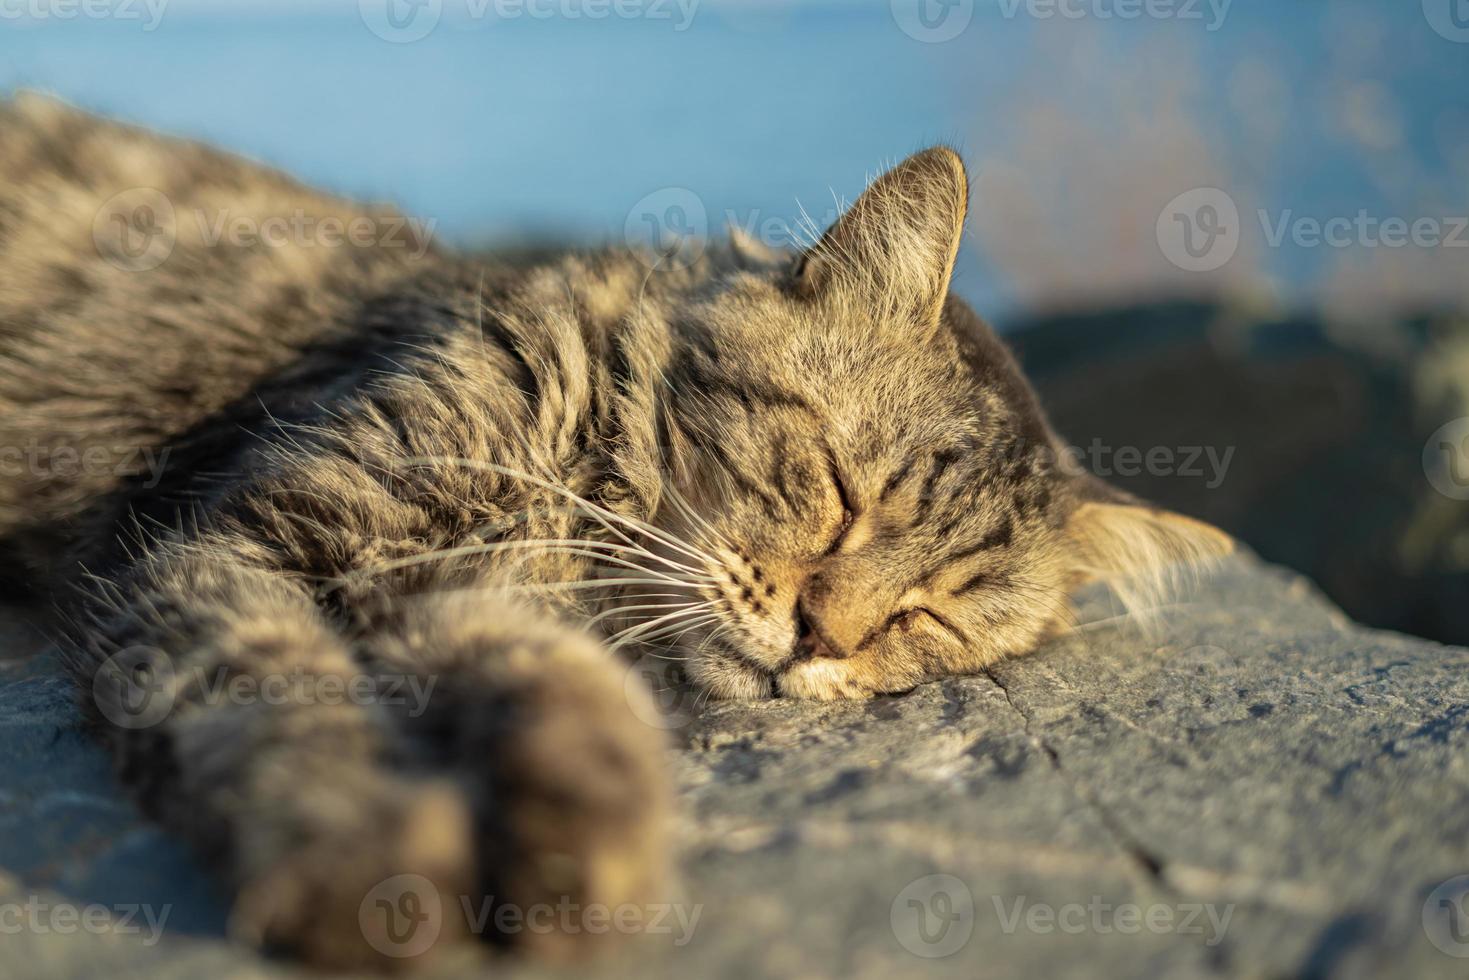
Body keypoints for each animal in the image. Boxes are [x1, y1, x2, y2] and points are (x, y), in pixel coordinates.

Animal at [0, 94, 1228, 975]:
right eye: (841, 493)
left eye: (928, 616)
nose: (821, 638)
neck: (568, 490)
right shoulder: (239, 541)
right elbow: (284, 710)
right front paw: (376, 874)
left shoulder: (458, 596)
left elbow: (576, 711)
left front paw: (578, 868)